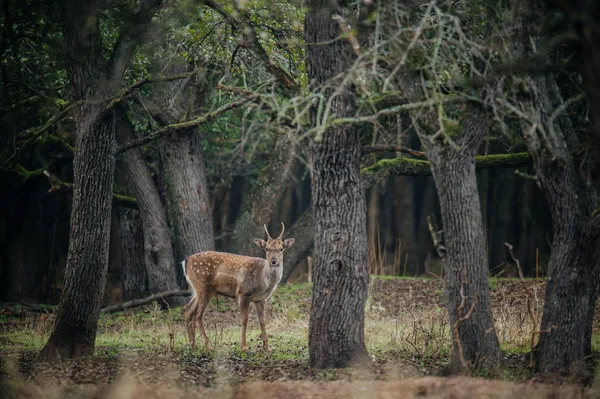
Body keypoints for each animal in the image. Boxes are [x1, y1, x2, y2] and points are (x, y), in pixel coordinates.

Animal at [183, 223, 296, 352]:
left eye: (281, 249)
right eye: (267, 249)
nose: (273, 260)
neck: (263, 282)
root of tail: (186, 261)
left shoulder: (261, 299)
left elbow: (262, 321)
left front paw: (267, 348)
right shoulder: (243, 292)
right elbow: (244, 320)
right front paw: (244, 346)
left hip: (199, 289)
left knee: (188, 310)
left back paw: (192, 344)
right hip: (203, 287)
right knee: (198, 314)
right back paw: (208, 345)